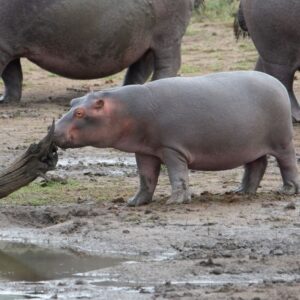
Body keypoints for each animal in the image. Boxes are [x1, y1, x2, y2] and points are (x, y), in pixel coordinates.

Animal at [0, 0, 197, 103]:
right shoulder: (8, 48)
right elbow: (12, 76)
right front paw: (6, 101)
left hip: (166, 36)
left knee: (167, 65)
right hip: (145, 40)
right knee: (140, 69)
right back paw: (126, 91)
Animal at [54, 71, 300, 205]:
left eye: (80, 113)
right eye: (73, 103)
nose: (54, 130)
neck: (126, 109)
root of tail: (277, 83)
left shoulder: (172, 148)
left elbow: (177, 175)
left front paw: (175, 201)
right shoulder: (144, 151)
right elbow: (146, 178)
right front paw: (134, 202)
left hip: (282, 141)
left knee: (287, 163)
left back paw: (287, 190)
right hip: (251, 145)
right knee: (257, 165)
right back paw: (242, 192)